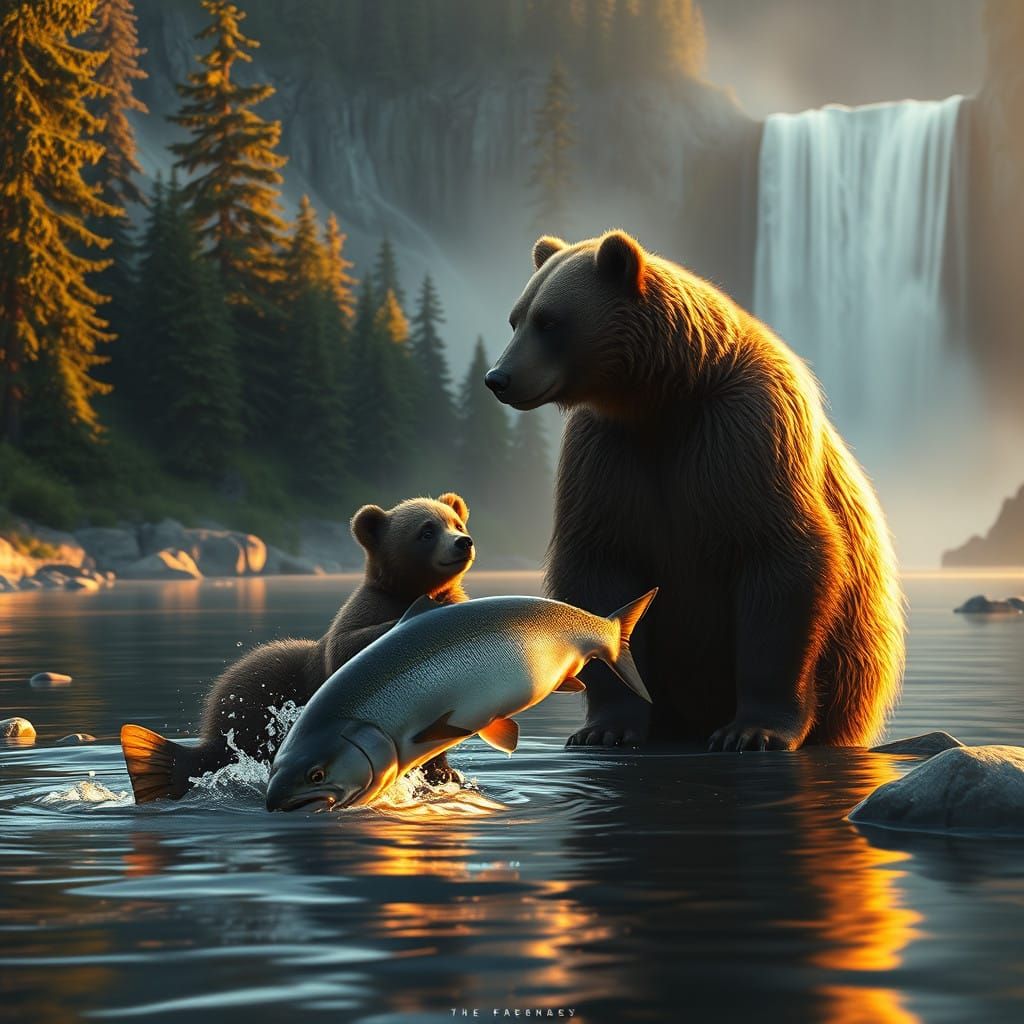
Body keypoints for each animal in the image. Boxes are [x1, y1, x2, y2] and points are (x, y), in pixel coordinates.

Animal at [120, 493, 475, 802]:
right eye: (426, 530)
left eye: (456, 522)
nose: (463, 542)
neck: (407, 590)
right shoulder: (365, 611)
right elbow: (347, 643)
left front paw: (445, 774)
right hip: (252, 711)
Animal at [483, 230, 905, 751]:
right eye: (516, 318)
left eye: (550, 321)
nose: (498, 378)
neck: (663, 402)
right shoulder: (607, 458)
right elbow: (600, 563)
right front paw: (605, 728)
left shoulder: (747, 435)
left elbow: (780, 562)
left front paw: (752, 730)